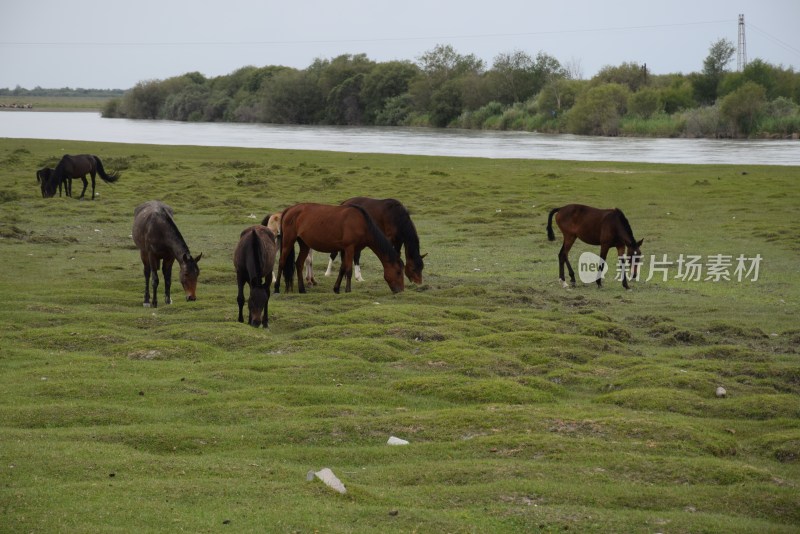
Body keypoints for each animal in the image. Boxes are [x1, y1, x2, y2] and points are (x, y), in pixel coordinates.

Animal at [276, 203, 406, 296]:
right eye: (398, 272)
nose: (400, 290)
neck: (362, 223)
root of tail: (289, 210)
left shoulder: (344, 250)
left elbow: (342, 269)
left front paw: (336, 288)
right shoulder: (349, 248)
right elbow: (348, 270)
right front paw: (348, 290)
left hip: (304, 244)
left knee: (299, 263)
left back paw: (302, 289)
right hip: (288, 241)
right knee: (281, 262)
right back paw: (276, 288)